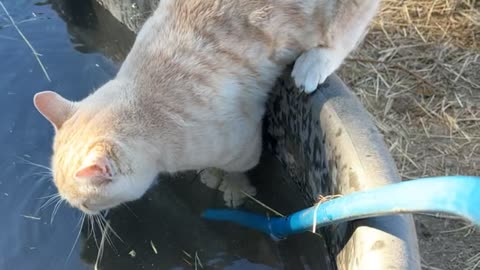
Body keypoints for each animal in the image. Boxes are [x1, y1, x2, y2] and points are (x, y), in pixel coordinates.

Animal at [32, 0, 378, 215]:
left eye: (86, 204)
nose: (82, 213)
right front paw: (210, 174)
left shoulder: (244, 143)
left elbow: (239, 169)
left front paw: (234, 187)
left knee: (346, 31)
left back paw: (314, 64)